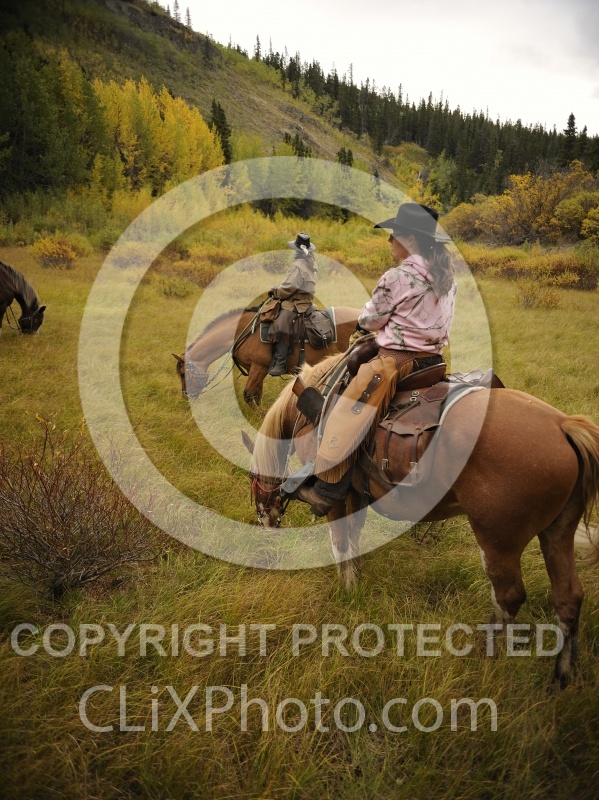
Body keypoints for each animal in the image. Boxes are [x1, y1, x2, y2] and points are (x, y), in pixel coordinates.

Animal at [173, 306, 360, 405]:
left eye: (182, 373)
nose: (185, 396)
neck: (244, 332)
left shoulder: (259, 367)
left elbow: (249, 394)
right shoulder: (256, 370)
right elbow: (256, 395)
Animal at [243, 354, 599, 688]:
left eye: (252, 479)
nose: (264, 524)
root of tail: (562, 425)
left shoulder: (336, 497)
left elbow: (340, 544)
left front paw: (347, 590)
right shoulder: (356, 494)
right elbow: (354, 540)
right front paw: (356, 583)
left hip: (498, 540)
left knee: (508, 597)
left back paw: (484, 661)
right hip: (557, 533)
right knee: (568, 598)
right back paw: (561, 678)